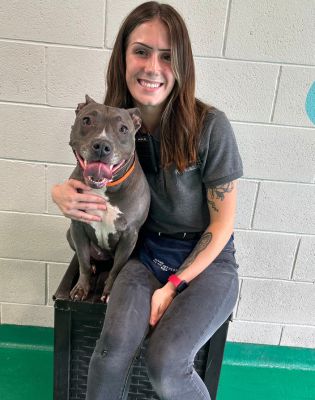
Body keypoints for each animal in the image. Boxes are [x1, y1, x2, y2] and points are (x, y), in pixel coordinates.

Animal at [67, 95, 151, 302]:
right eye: (86, 120)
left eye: (123, 129)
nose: (102, 146)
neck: (103, 190)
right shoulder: (77, 227)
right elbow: (83, 261)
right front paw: (81, 288)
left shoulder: (130, 234)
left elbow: (116, 269)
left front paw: (109, 292)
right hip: (69, 235)